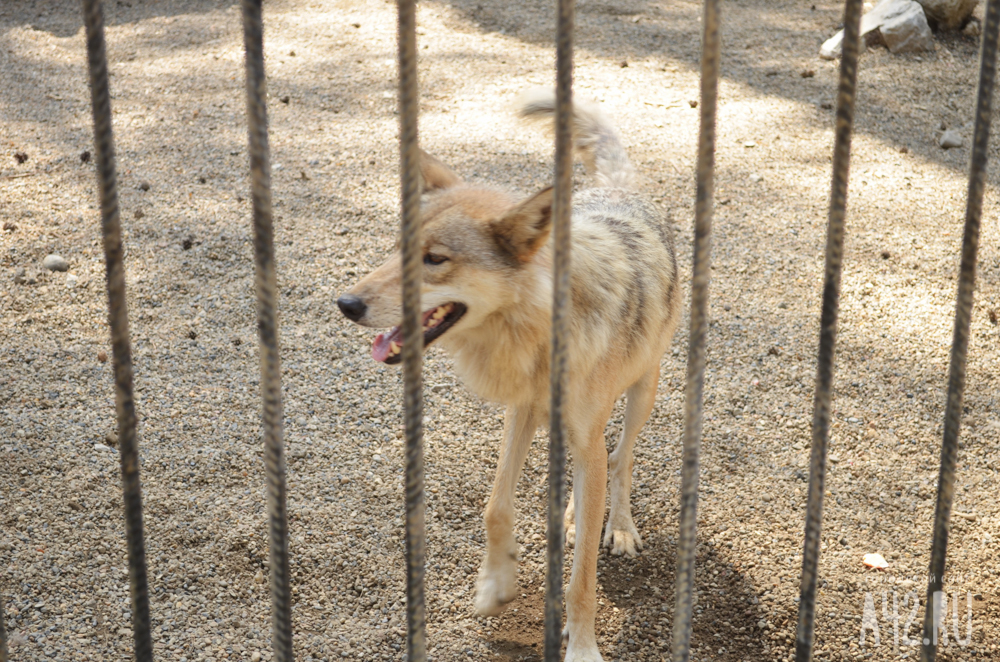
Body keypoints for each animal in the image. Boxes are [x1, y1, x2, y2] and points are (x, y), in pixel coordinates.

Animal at [336, 89, 680, 662]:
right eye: (396, 249)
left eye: (435, 259)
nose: (346, 304)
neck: (536, 331)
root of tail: (618, 191)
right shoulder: (520, 412)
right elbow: (495, 506)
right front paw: (495, 586)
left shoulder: (581, 426)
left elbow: (582, 578)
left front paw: (581, 647)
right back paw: (573, 516)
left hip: (642, 393)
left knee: (620, 457)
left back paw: (619, 527)